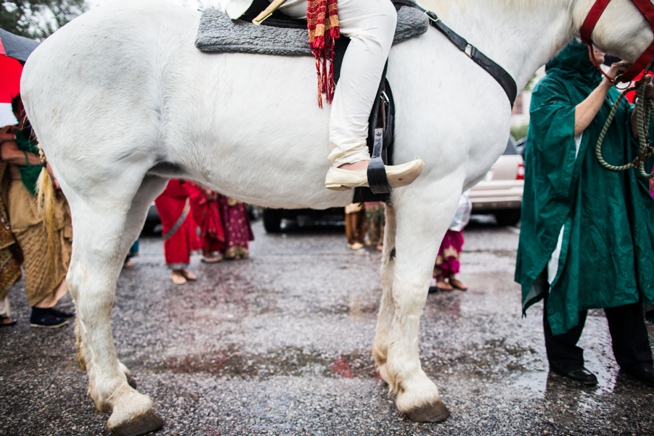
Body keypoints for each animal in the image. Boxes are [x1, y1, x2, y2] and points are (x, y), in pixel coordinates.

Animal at [20, 0, 654, 434]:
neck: (470, 41)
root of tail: (38, 54)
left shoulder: (404, 197)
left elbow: (391, 281)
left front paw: (390, 368)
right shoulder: (433, 193)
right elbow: (413, 289)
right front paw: (416, 387)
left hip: (138, 191)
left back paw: (112, 380)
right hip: (105, 192)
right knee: (93, 288)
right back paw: (122, 402)